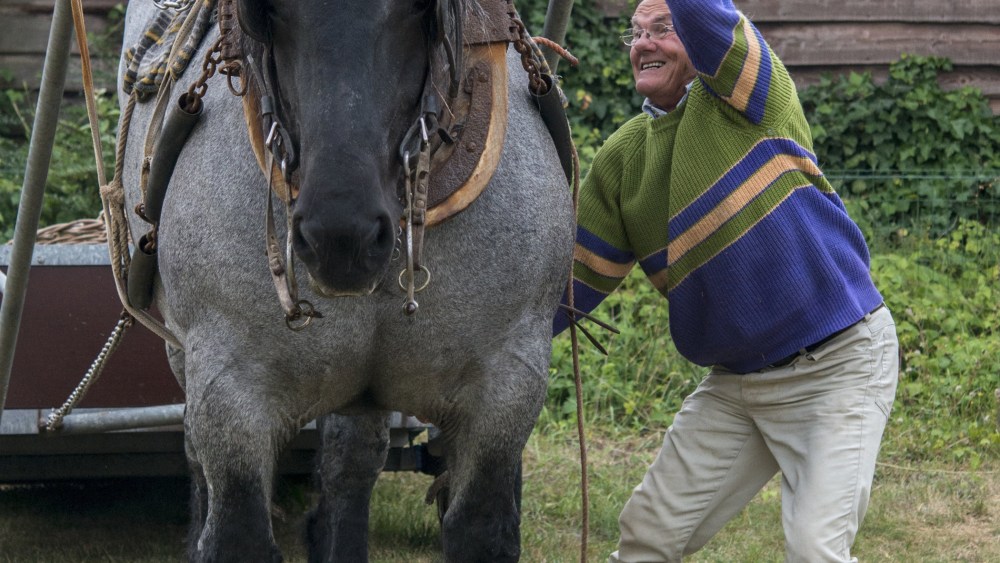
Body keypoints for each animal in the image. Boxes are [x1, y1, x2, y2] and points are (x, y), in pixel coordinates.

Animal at [115, 1, 575, 561]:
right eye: (266, 13)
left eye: (419, 10)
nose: (341, 238)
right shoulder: (229, 385)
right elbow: (236, 532)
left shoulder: (508, 381)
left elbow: (480, 526)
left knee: (351, 459)